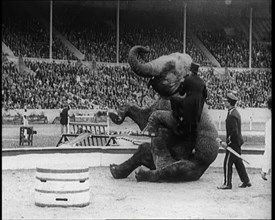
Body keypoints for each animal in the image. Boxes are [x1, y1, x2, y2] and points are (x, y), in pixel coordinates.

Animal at [109, 45, 219, 181]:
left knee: (174, 169)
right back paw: (115, 170)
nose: (146, 49)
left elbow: (174, 126)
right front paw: (115, 115)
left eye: (169, 66)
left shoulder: (182, 103)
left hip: (195, 164)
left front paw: (147, 132)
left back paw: (142, 174)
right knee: (143, 149)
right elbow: (144, 118)